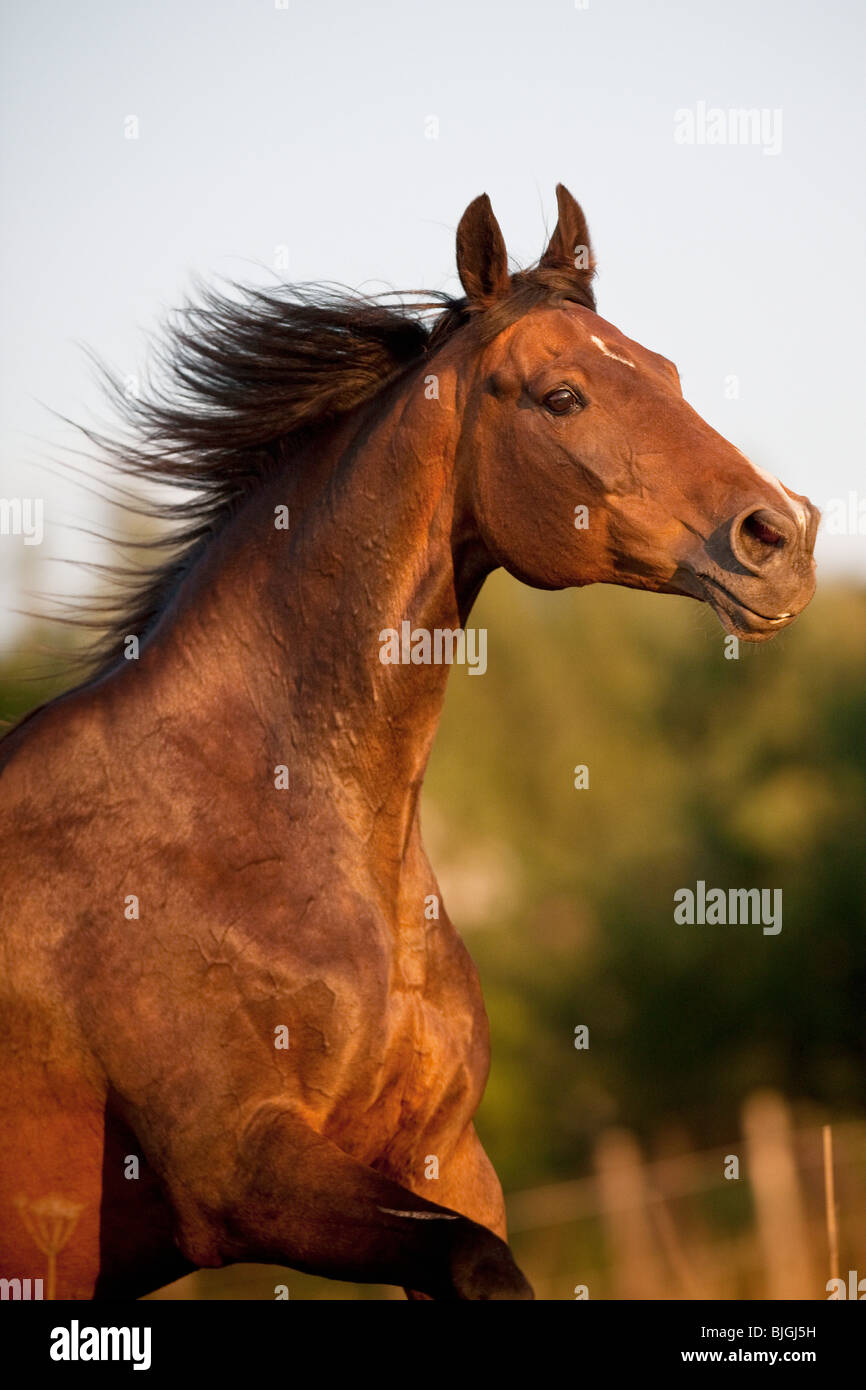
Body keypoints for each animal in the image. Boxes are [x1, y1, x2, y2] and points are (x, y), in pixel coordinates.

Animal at [0, 187, 817, 1301]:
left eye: (668, 373)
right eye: (561, 396)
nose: (779, 539)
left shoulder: (445, 1158)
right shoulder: (240, 1172)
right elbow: (481, 1264)